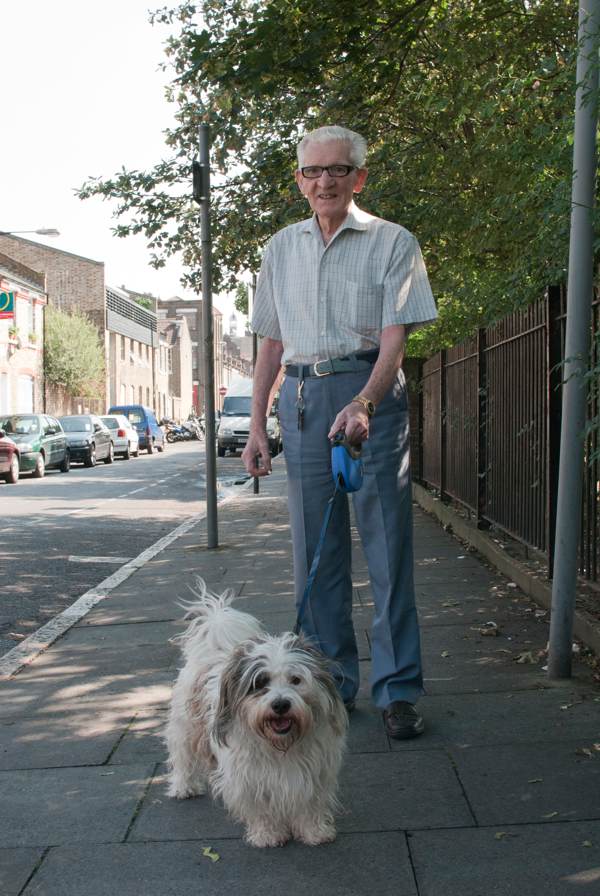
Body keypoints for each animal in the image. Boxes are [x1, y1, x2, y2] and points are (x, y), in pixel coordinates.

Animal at [166, 580, 350, 848]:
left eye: (296, 680)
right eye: (260, 682)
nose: (281, 704)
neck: (280, 746)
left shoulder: (314, 771)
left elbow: (310, 804)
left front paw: (314, 831)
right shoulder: (247, 777)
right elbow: (259, 808)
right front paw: (268, 834)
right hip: (185, 726)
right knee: (182, 756)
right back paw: (183, 786)